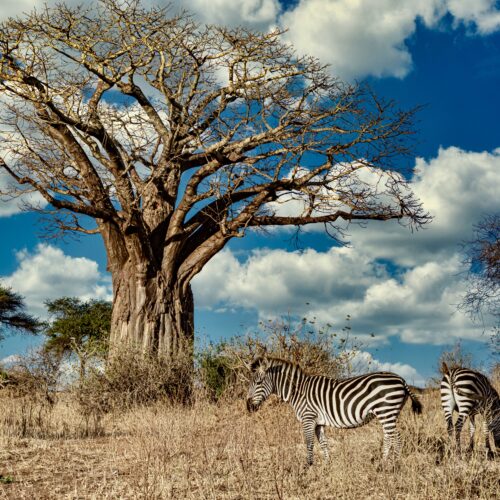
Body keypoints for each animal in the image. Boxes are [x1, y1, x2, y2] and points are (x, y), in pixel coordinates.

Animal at [246, 356, 422, 464]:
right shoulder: (318, 422)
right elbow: (323, 443)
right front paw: (327, 464)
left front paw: (308, 466)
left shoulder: (308, 418)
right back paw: (388, 463)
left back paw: (389, 465)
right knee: (390, 437)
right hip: (389, 414)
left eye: (259, 382)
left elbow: (309, 443)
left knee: (395, 438)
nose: (248, 407)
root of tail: (401, 379)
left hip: (386, 412)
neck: (298, 390)